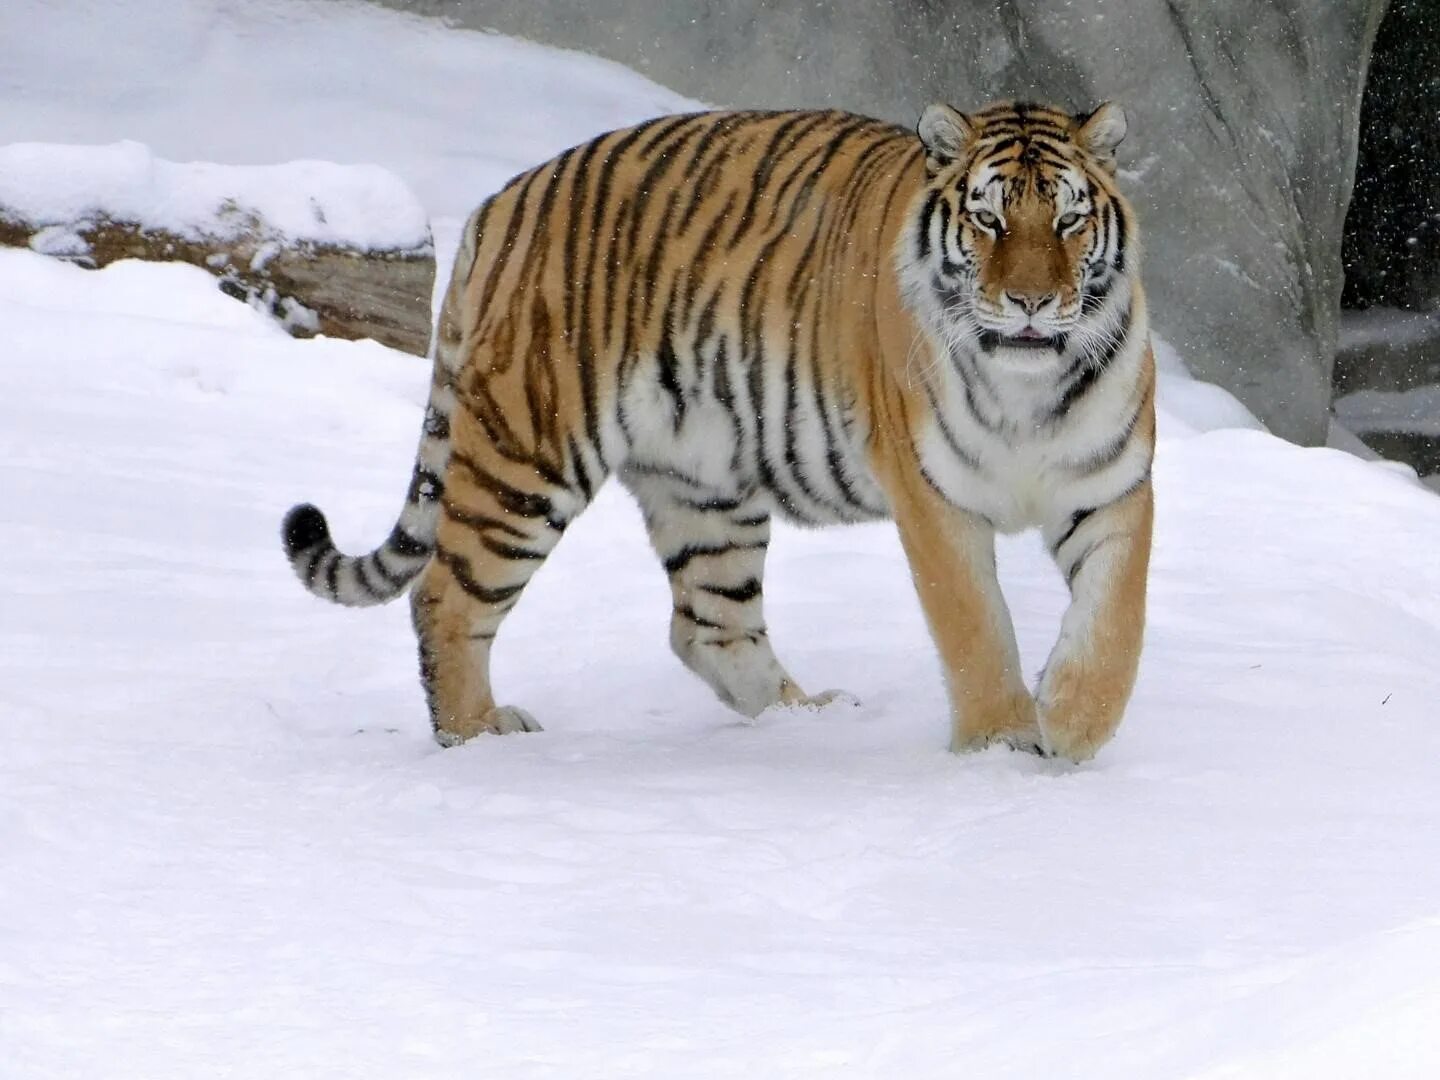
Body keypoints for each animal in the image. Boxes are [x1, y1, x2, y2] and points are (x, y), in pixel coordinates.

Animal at [280, 99, 1157, 760]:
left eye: (1069, 221)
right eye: (988, 221)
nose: (1031, 303)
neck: (1026, 390)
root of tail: (499, 206)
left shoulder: (1112, 485)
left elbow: (1115, 622)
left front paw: (1071, 729)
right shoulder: (934, 499)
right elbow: (975, 628)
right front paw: (1002, 747)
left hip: (703, 482)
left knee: (707, 624)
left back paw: (809, 718)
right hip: (526, 452)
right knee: (445, 597)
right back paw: (481, 739)